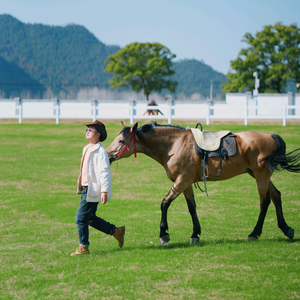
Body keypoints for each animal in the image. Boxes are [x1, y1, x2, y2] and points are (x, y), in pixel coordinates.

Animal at [106, 120, 300, 245]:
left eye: (121, 140)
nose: (108, 155)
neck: (175, 145)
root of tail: (270, 136)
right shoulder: (186, 183)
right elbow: (192, 207)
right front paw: (195, 234)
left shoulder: (182, 180)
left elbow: (165, 203)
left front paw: (164, 233)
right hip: (259, 175)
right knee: (276, 196)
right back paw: (286, 229)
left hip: (261, 175)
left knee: (265, 201)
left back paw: (254, 233)